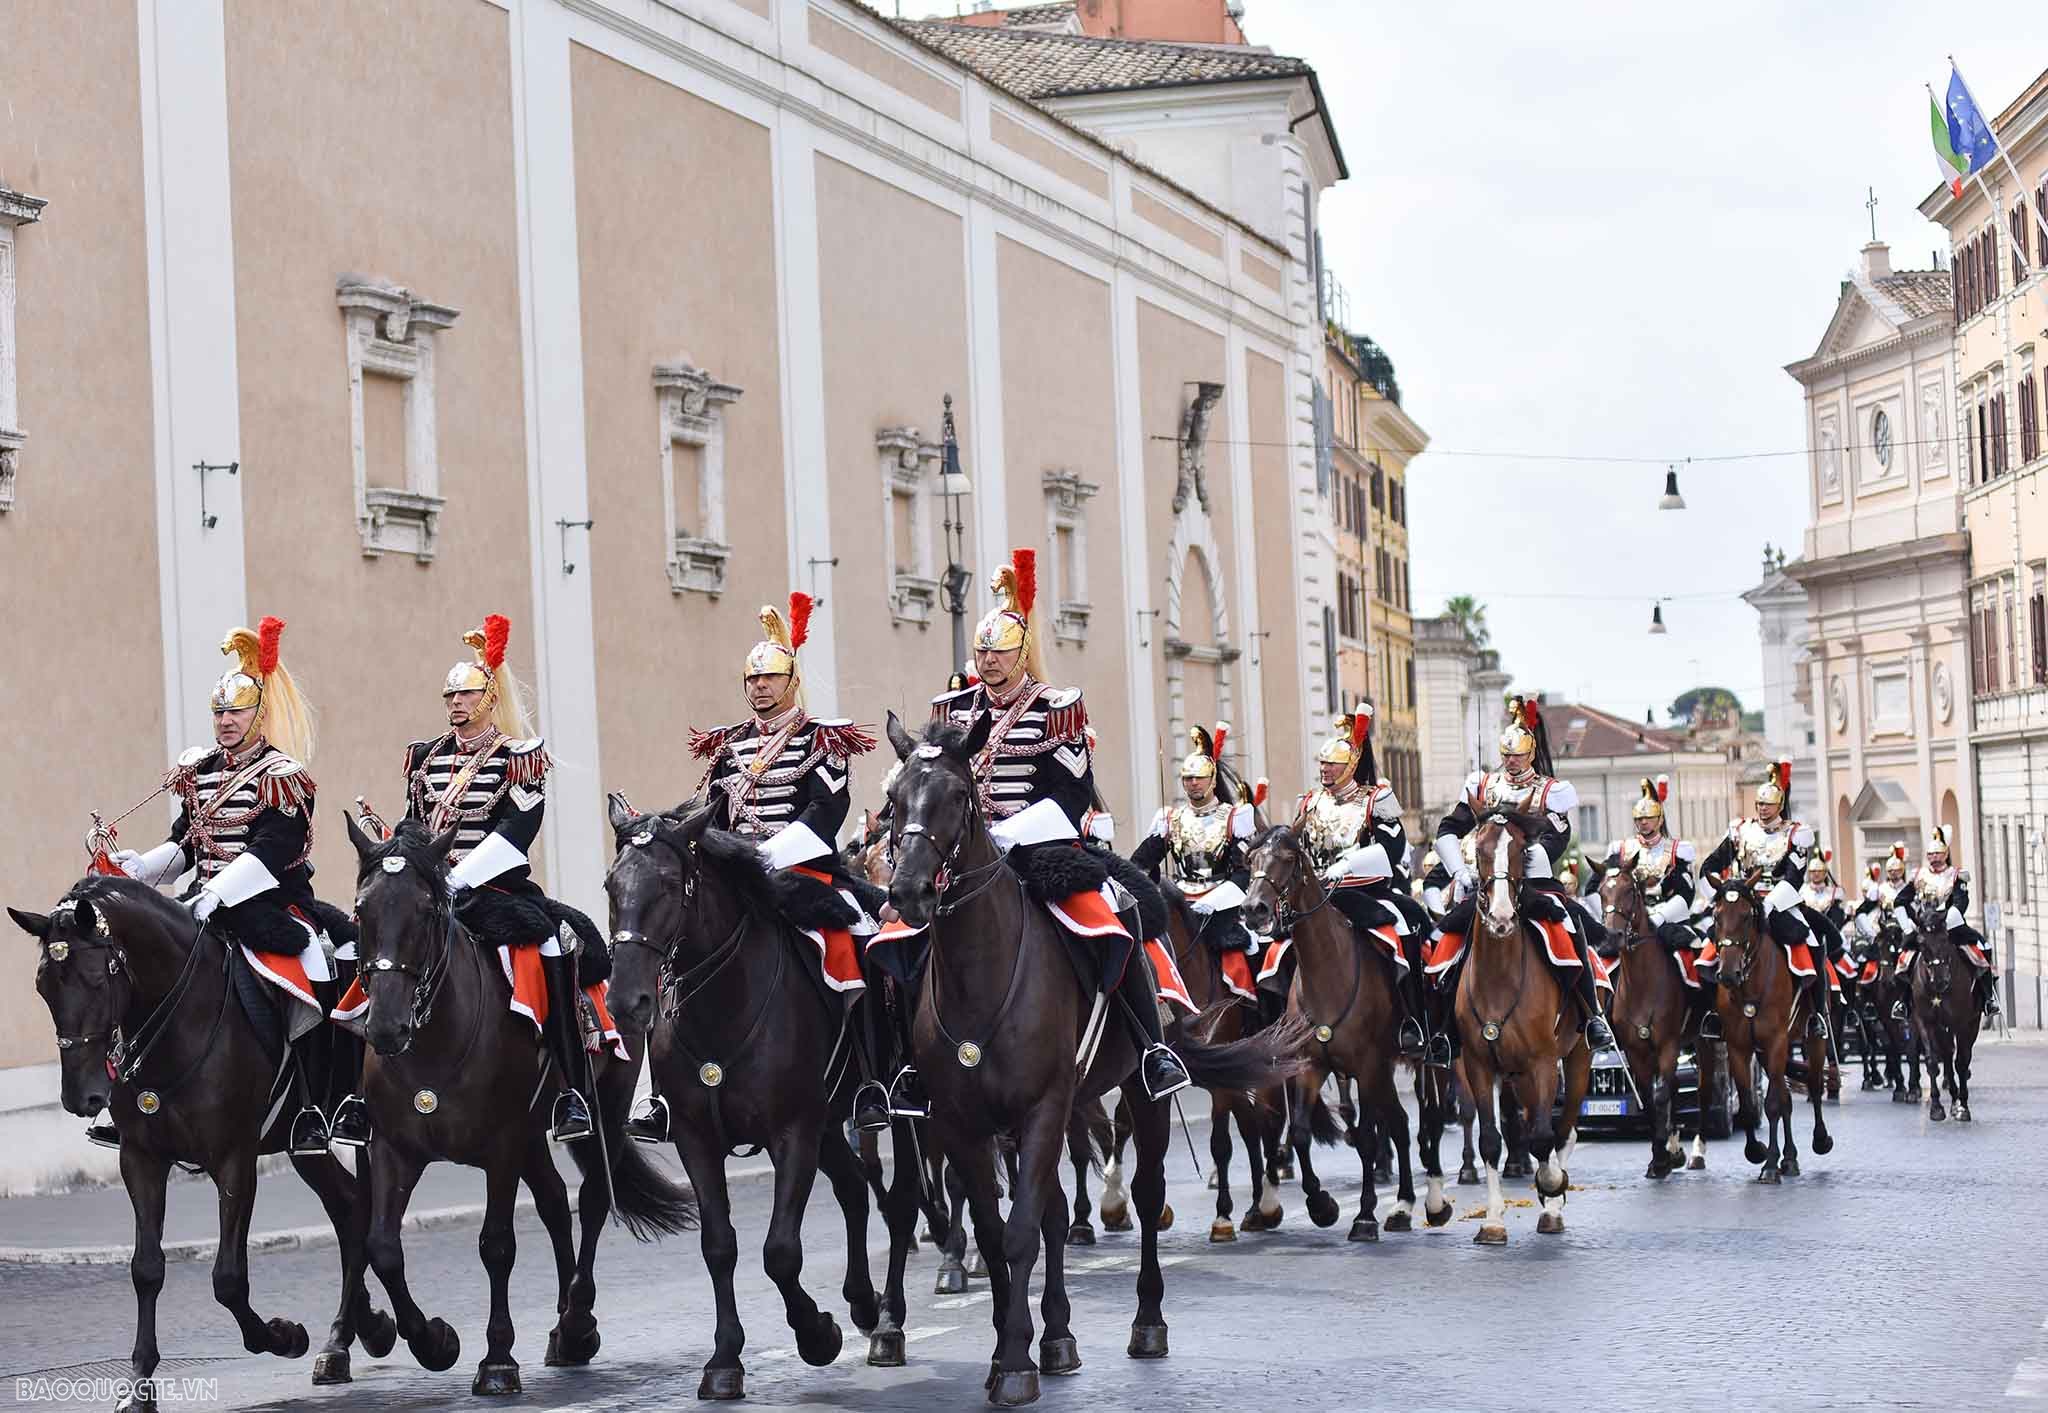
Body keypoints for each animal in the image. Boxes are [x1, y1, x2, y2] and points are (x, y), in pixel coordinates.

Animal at [11, 880, 395, 1400]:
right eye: (42, 986)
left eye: (95, 980)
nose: (80, 1096)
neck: (179, 1021)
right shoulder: (141, 1159)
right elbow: (146, 1267)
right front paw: (139, 1382)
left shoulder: (233, 1159)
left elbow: (228, 1279)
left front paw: (283, 1336)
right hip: (304, 1146)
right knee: (350, 1207)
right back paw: (350, 1335)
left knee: (365, 1208)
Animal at [1228, 819, 1458, 1236]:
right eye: (1251, 859)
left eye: (1288, 858)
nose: (1253, 909)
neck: (1328, 969)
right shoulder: (1312, 1067)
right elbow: (1300, 1133)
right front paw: (1321, 1205)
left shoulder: (1367, 1065)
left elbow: (1368, 1138)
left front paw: (1365, 1215)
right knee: (1399, 1123)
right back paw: (1402, 1204)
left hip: (1424, 1060)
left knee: (1426, 1120)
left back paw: (1430, 1200)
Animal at [1449, 815, 1589, 1245]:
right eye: (1478, 851)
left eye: (1521, 851)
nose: (1501, 919)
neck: (1499, 978)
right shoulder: (1478, 1065)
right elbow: (1491, 1140)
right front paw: (1493, 1220)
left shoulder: (1543, 1062)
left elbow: (1544, 1138)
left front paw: (1553, 1188)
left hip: (1576, 1058)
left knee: (1563, 1129)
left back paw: (1553, 1202)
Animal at [1597, 864, 1695, 1171]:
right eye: (1601, 892)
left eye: (1630, 890)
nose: (1612, 937)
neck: (1643, 985)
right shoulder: (1636, 1051)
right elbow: (1649, 1099)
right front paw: (1660, 1155)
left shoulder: (1668, 1044)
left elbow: (1661, 1095)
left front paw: (1663, 1157)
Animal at [1900, 892, 1982, 1122]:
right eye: (1921, 943)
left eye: (1946, 938)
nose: (1940, 981)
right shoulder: (1925, 1022)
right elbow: (1932, 1061)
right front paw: (1937, 1107)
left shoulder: (1961, 1023)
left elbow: (1961, 1062)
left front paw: (1962, 1106)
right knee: (1945, 1055)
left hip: (1972, 1023)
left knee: (1959, 1057)